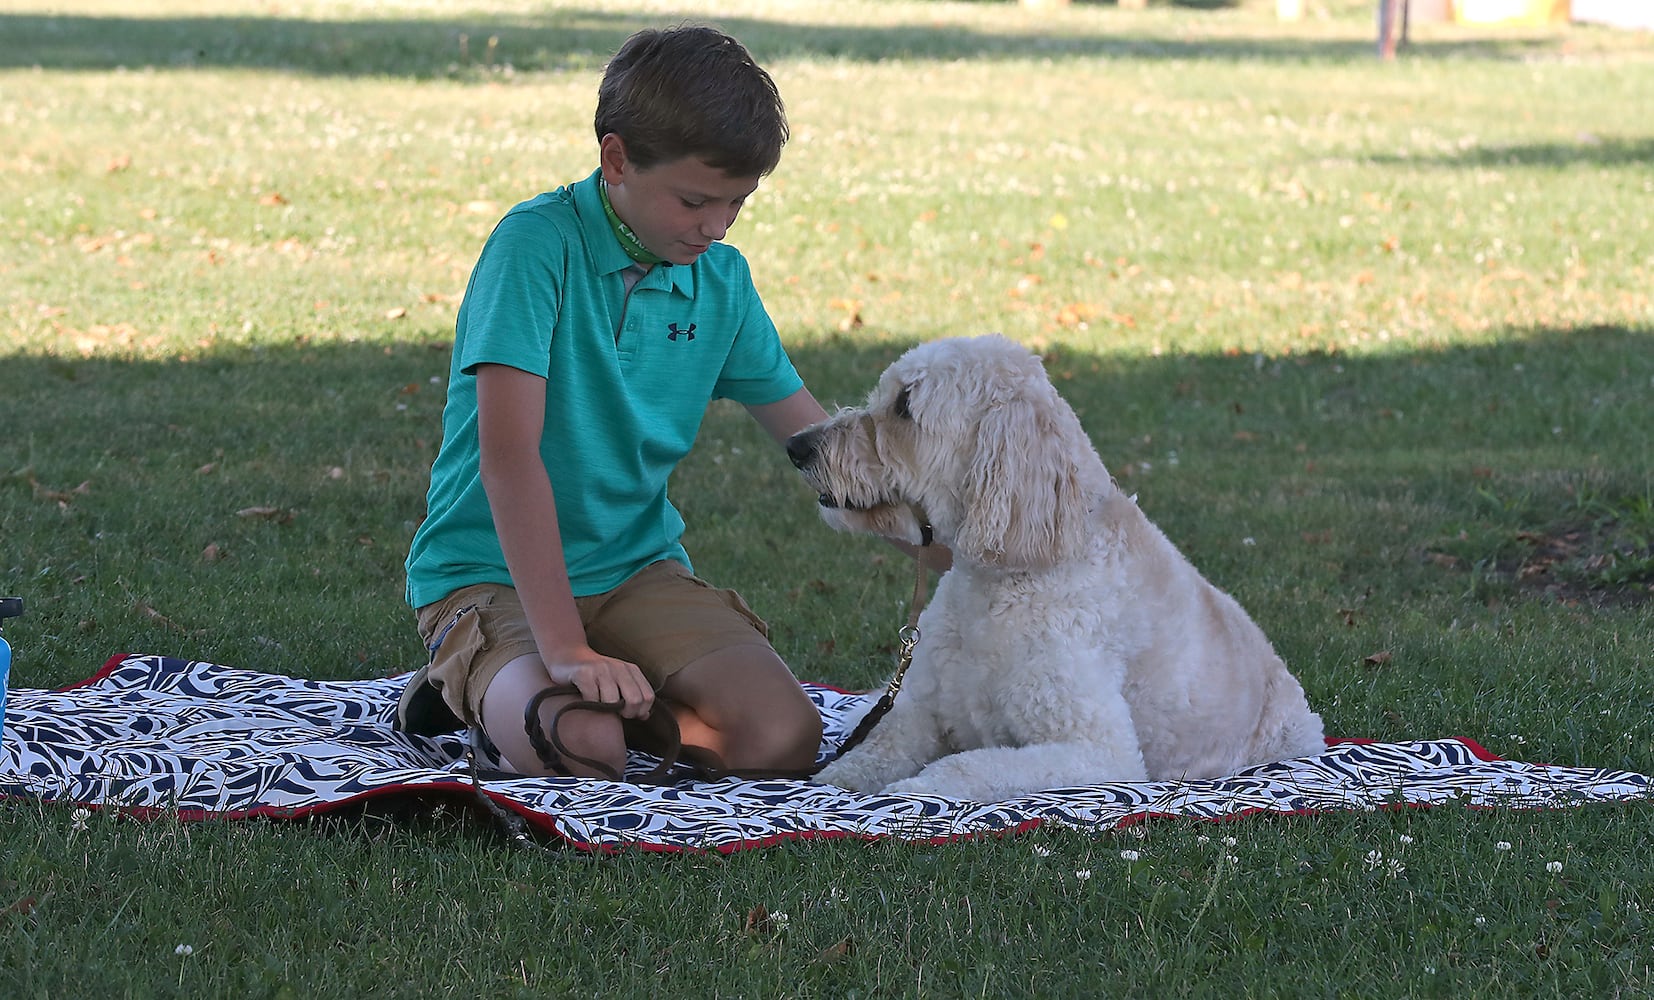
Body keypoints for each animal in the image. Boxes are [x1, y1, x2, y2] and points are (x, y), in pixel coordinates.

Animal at [790, 335, 1329, 803]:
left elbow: (966, 766)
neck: (1008, 575)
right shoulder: (923, 709)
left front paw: (912, 791)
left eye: (905, 405)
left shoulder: (1098, 751)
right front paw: (837, 779)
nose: (798, 446)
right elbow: (878, 744)